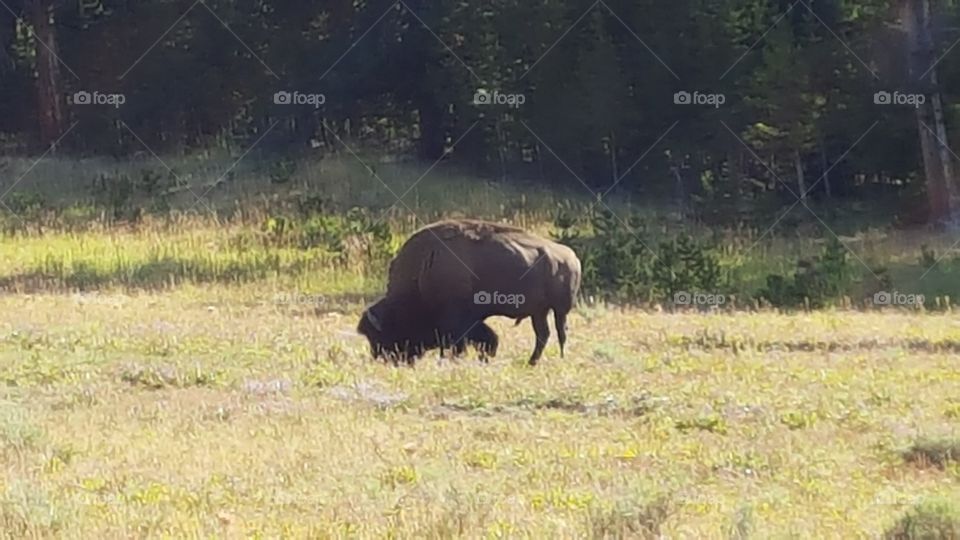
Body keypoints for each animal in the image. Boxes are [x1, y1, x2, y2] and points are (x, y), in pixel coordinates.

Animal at [358, 219, 581, 365]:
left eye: (379, 336)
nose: (382, 359)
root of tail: (571, 256)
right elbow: (484, 338)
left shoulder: (458, 320)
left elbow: (467, 342)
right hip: (539, 312)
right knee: (543, 334)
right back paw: (531, 362)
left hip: (560, 310)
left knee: (560, 333)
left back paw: (558, 358)